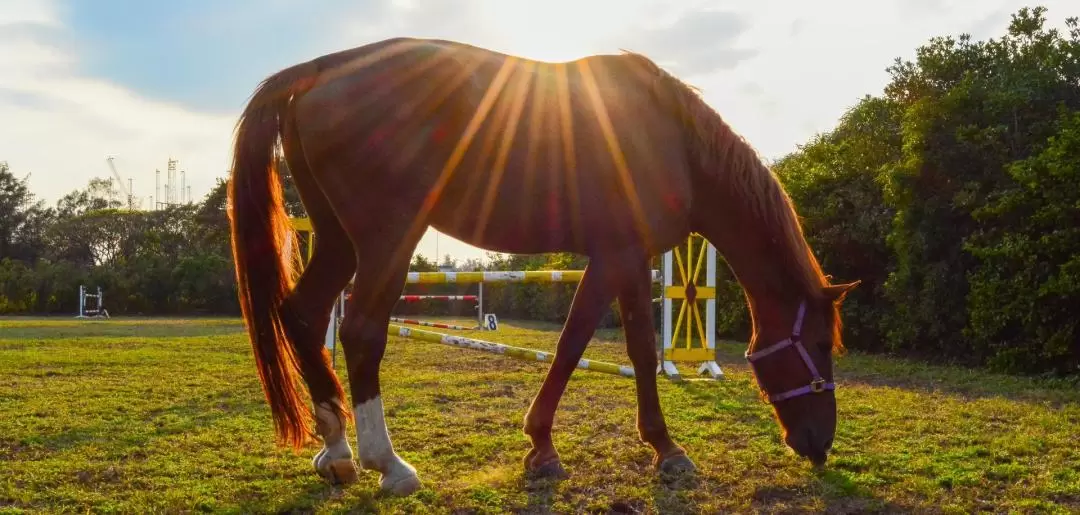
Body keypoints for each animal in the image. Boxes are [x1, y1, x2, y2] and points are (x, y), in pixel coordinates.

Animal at [227, 36, 859, 494]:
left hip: (338, 241)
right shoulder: (616, 256)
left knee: (304, 315)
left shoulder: (626, 260)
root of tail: (320, 68)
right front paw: (569, 446)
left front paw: (637, 447)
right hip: (387, 241)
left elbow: (625, 349)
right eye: (820, 345)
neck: (674, 141)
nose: (819, 444)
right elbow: (586, 344)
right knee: (359, 330)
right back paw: (390, 464)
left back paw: (336, 453)